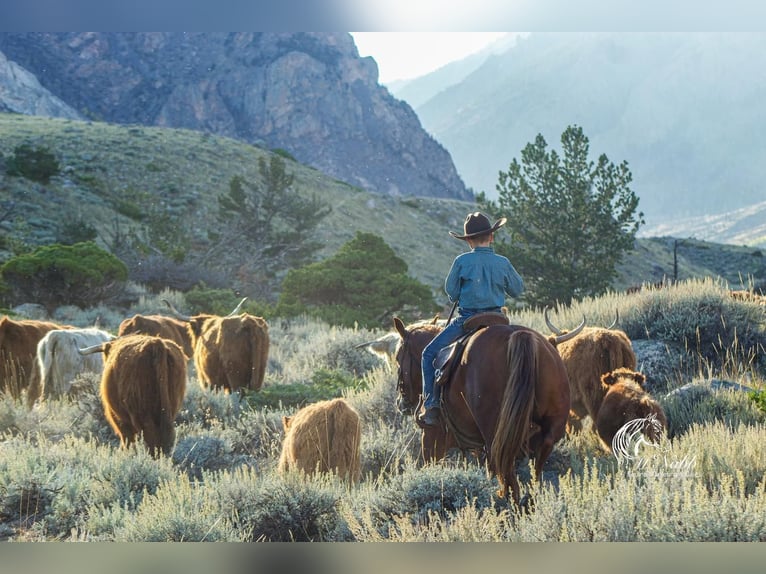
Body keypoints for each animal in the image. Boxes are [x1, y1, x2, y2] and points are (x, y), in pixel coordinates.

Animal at [396, 318, 576, 506]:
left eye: (397, 358)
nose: (401, 403)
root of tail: (519, 336)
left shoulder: (432, 435)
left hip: (494, 434)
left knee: (506, 470)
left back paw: (503, 499)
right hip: (551, 426)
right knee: (538, 459)